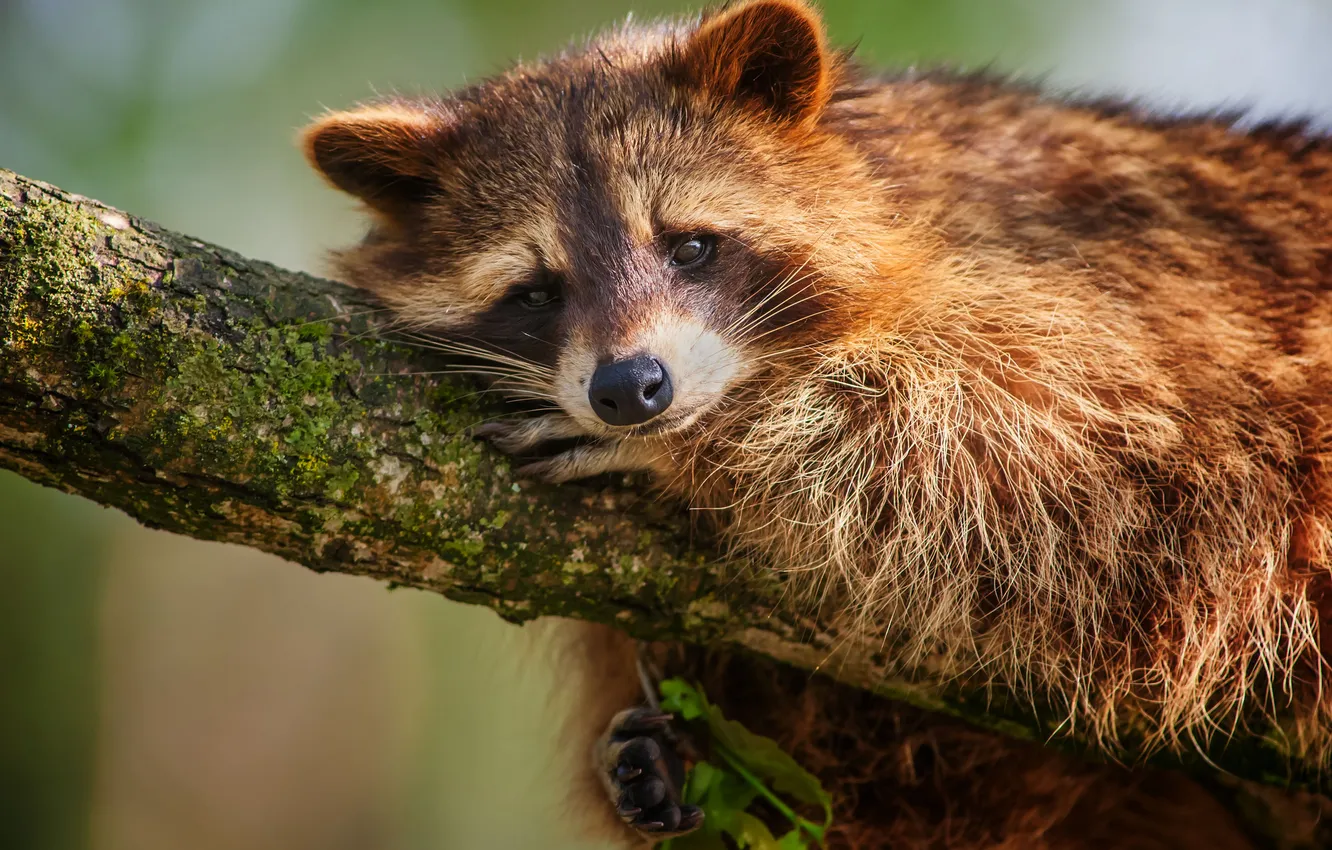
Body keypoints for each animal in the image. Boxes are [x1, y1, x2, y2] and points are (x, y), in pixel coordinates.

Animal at [301, 0, 1332, 845]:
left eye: (690, 246)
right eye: (536, 291)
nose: (631, 391)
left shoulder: (1150, 285)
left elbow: (1095, 468)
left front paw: (711, 443)